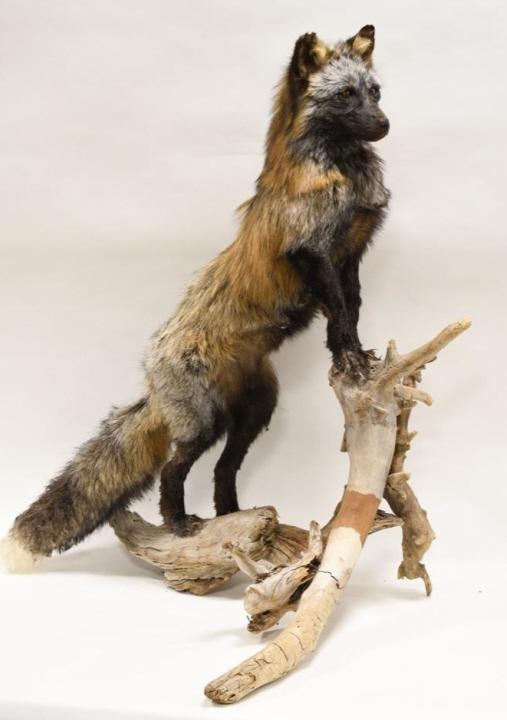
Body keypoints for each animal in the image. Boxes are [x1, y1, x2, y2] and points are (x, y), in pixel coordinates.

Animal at [1, 25, 390, 571]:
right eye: (344, 96)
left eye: (373, 92)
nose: (384, 124)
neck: (343, 177)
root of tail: (149, 375)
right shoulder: (312, 252)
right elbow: (337, 310)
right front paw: (352, 358)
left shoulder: (351, 252)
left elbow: (349, 309)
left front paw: (353, 355)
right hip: (203, 422)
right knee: (172, 470)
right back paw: (181, 523)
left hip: (253, 415)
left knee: (223, 471)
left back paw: (239, 523)